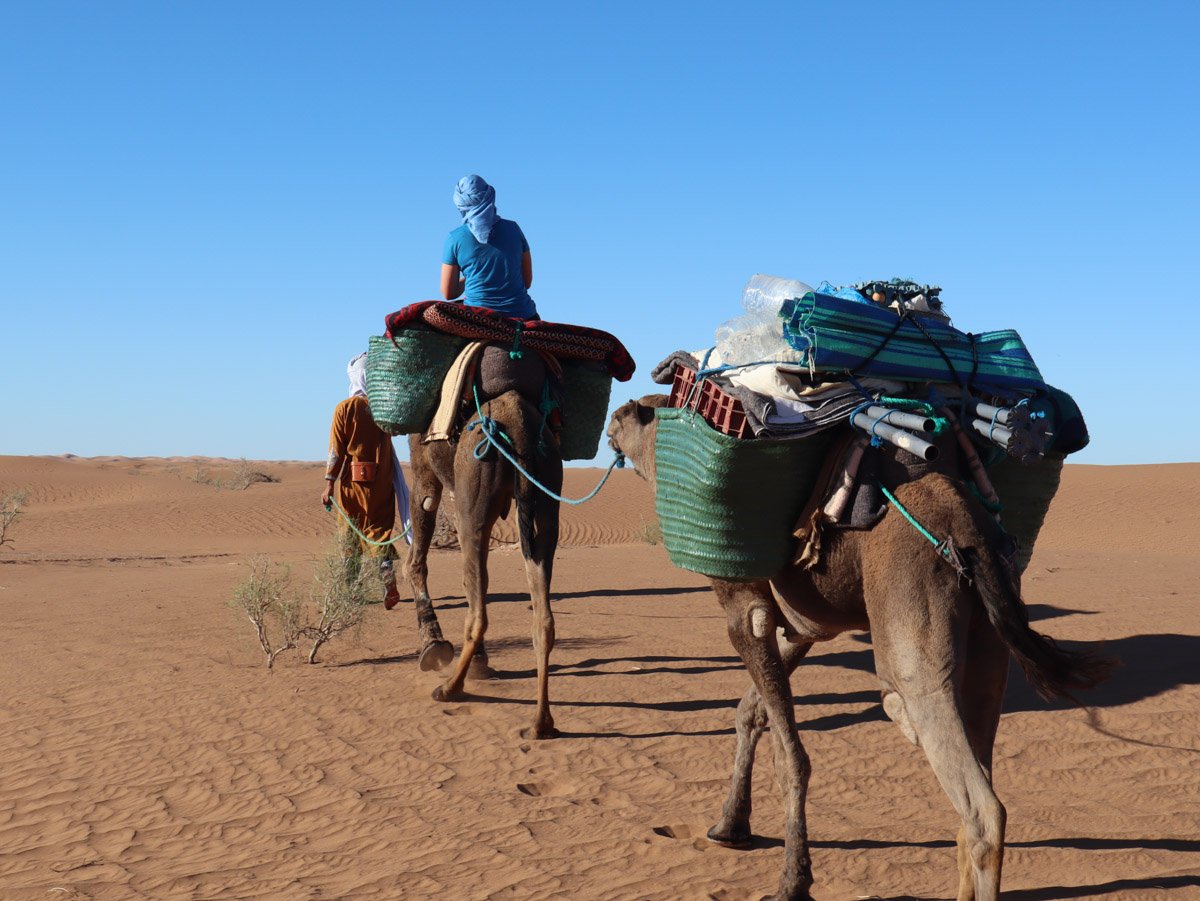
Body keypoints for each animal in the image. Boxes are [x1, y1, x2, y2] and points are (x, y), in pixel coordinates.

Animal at [406, 387, 563, 740]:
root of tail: (517, 417)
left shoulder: (424, 467)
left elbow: (416, 560)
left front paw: (433, 645)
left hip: (475, 489)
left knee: (478, 614)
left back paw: (450, 688)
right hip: (546, 494)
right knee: (543, 618)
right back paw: (541, 723)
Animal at [606, 395, 1112, 901]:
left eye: (626, 416)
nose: (611, 421)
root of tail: (967, 529)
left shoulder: (743, 604)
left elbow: (789, 754)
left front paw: (792, 880)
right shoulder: (804, 625)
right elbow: (751, 710)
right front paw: (730, 826)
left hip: (912, 636)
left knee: (975, 797)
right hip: (990, 643)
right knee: (979, 744)